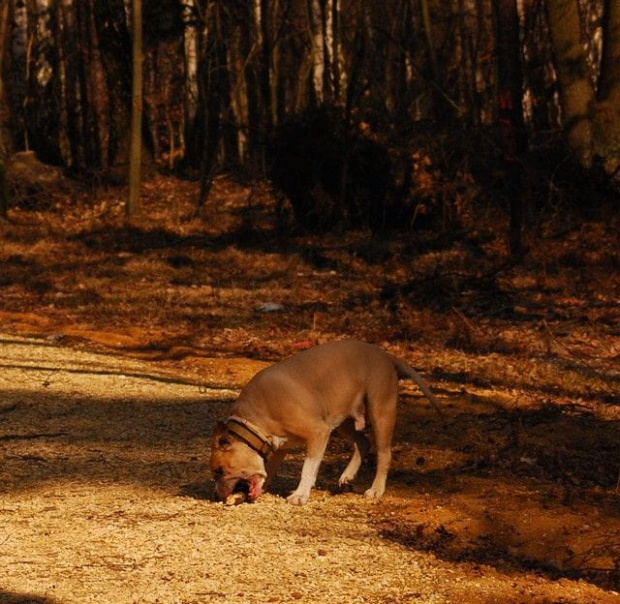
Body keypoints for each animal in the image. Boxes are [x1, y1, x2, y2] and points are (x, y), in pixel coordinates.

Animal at [209, 340, 440, 504]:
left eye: (219, 471)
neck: (253, 422)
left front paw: (300, 495)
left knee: (384, 453)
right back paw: (347, 476)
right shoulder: (282, 445)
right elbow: (272, 468)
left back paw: (376, 489)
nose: (216, 495)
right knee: (362, 442)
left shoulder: (317, 433)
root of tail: (385, 355)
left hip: (380, 412)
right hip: (342, 419)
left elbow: (308, 467)